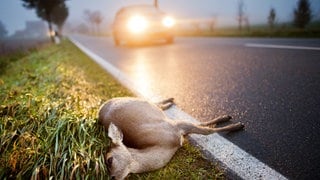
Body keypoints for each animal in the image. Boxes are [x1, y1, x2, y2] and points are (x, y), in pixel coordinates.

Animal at [99, 97, 244, 179]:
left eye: (109, 160)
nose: (111, 178)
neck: (167, 145)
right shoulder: (177, 128)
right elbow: (203, 127)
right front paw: (230, 122)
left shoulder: (173, 126)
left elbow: (206, 131)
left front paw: (235, 124)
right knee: (157, 105)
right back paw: (169, 102)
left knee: (154, 102)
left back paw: (170, 100)